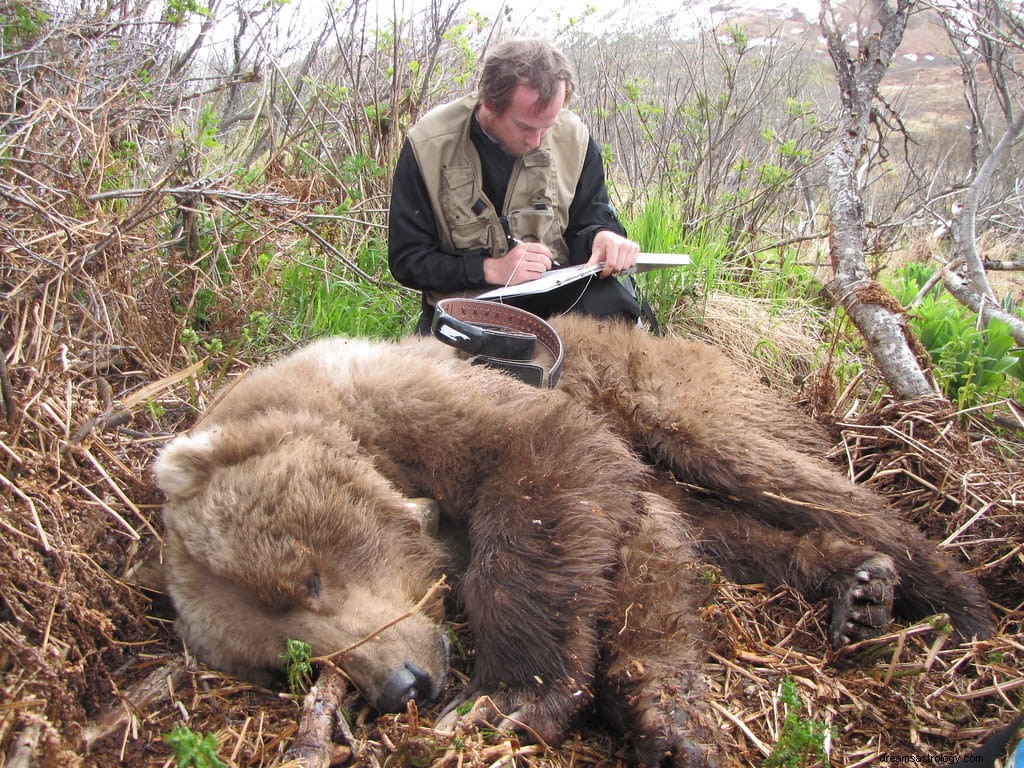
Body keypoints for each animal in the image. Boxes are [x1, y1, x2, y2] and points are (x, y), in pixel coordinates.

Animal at [153, 309, 991, 765]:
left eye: (307, 577)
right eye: (286, 660)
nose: (402, 687)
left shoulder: (423, 402)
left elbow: (544, 473)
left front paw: (511, 698)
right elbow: (652, 551)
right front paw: (660, 722)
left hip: (670, 393)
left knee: (778, 474)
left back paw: (955, 597)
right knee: (728, 528)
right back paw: (859, 584)